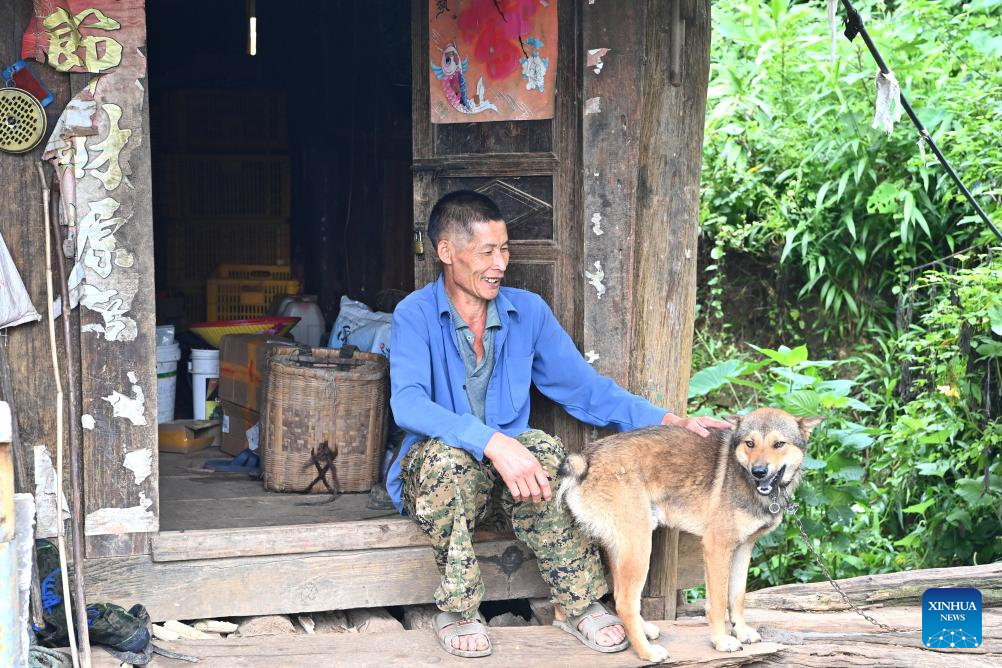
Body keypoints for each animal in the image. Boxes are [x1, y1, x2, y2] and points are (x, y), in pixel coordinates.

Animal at [557, 408, 821, 664]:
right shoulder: (717, 548)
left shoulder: (743, 549)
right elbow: (719, 603)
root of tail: (586, 458)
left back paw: (645, 631)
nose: (759, 472)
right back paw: (647, 652)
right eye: (750, 443)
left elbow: (737, 598)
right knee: (624, 601)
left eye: (779, 444)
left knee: (621, 595)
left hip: (623, 548)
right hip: (640, 548)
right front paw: (721, 641)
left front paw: (741, 631)